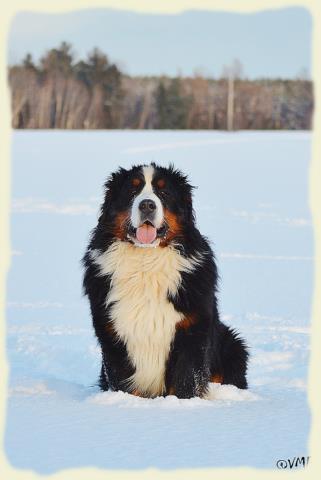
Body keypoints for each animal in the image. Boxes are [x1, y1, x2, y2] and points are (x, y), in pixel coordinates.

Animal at [82, 163, 248, 400]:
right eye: (132, 190)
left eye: (164, 193)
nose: (147, 204)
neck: (145, 263)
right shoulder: (112, 334)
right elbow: (124, 383)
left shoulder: (191, 332)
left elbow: (186, 383)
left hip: (232, 345)